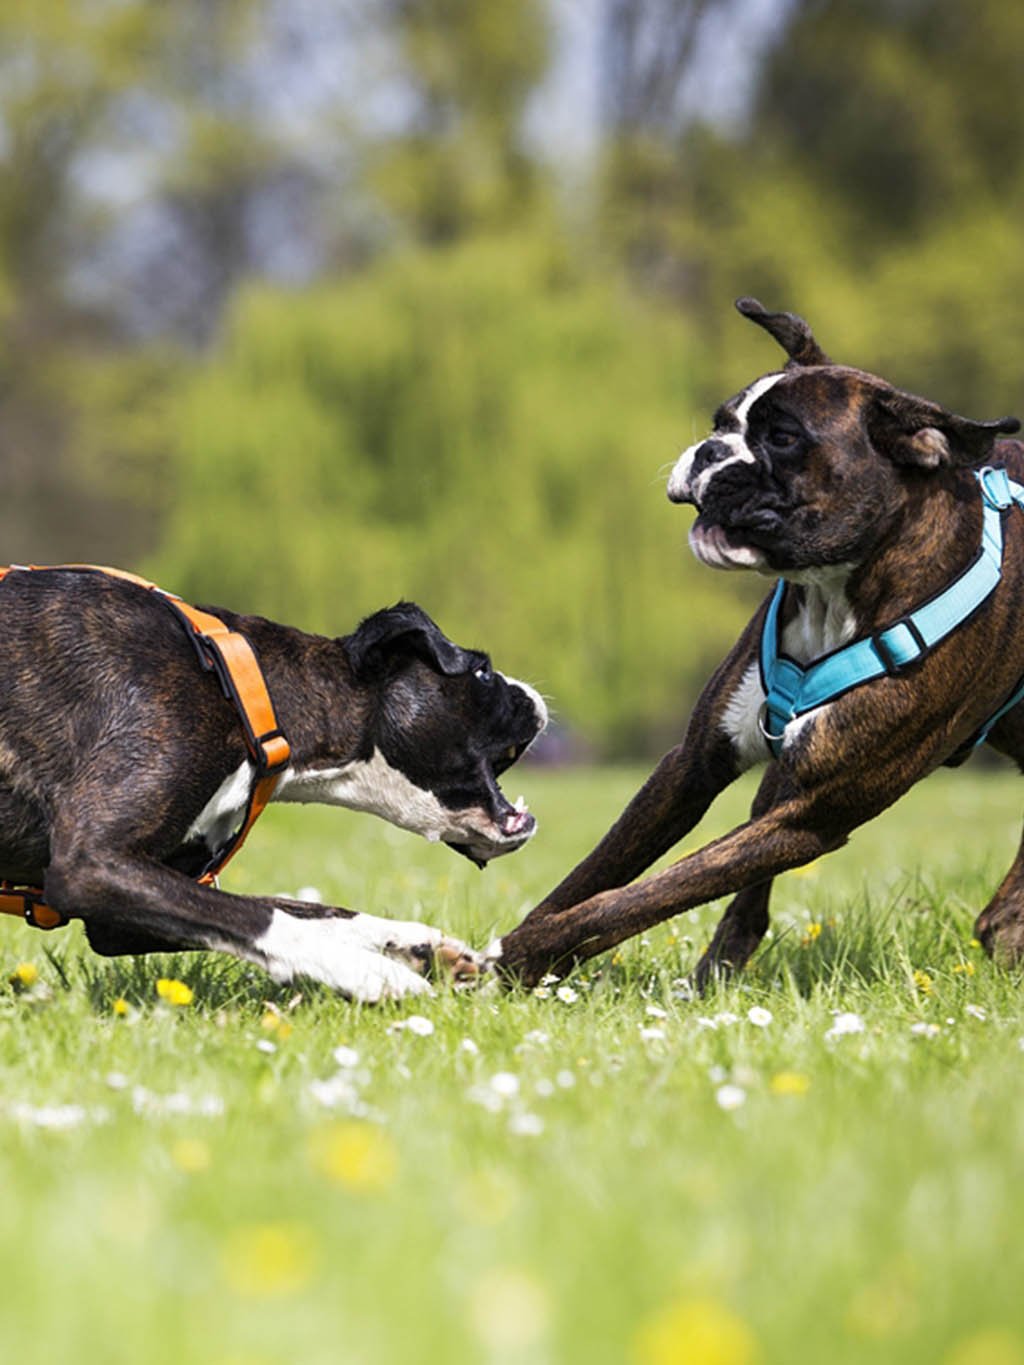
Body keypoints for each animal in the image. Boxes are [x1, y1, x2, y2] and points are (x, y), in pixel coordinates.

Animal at [0, 565, 546, 1004]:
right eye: (482, 672)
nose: (534, 695)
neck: (243, 688)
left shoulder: (120, 916)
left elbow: (299, 908)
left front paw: (417, 944)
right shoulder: (91, 865)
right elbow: (262, 918)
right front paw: (371, 972)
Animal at [494, 298, 1024, 988]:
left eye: (783, 438)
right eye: (722, 421)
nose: (710, 450)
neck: (835, 590)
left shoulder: (810, 818)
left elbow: (633, 899)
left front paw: (523, 954)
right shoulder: (695, 763)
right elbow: (596, 875)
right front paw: (508, 961)